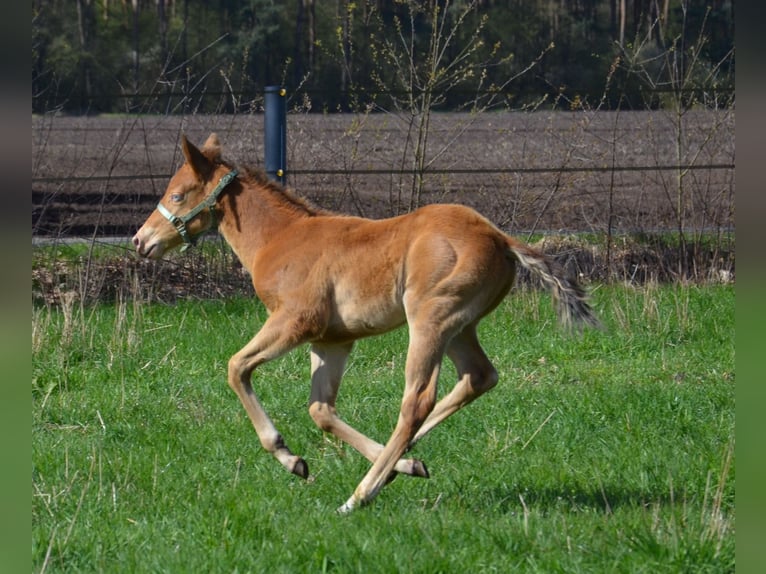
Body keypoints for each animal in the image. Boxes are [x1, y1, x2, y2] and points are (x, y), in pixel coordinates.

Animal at [132, 133, 601, 513]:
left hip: (431, 320)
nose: (140, 240)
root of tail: (501, 238)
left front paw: (290, 457)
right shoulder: (331, 340)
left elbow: (236, 367)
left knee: (417, 401)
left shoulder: (295, 322)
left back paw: (360, 495)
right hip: (459, 327)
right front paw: (400, 466)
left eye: (178, 195)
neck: (279, 239)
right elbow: (320, 409)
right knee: (478, 377)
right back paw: (402, 459)